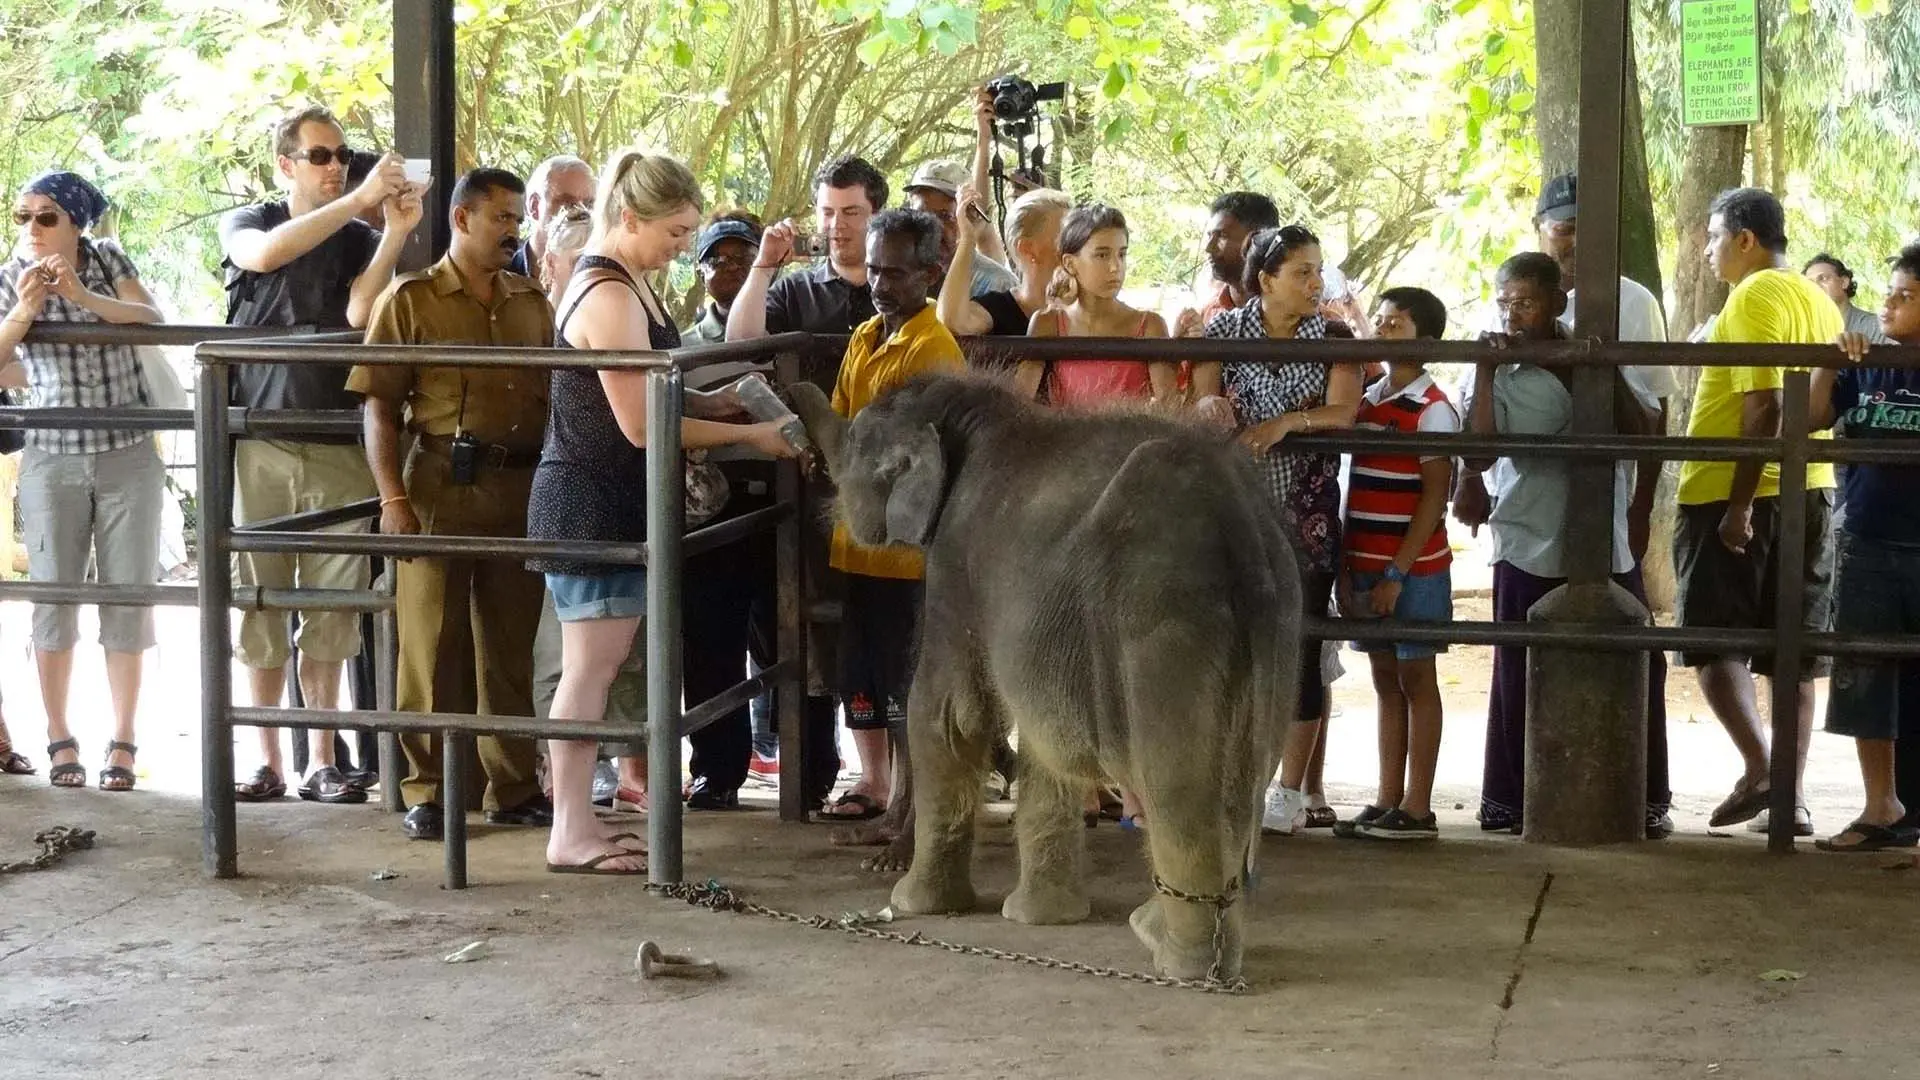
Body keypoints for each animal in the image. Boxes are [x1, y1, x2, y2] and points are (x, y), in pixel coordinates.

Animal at [788, 373, 1302, 981]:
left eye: (857, 445)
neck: (967, 411)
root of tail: (1239, 525)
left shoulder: (957, 562)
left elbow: (948, 715)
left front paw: (914, 903)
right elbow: (1042, 739)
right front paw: (1041, 918)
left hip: (1164, 620)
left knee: (1175, 782)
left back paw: (1181, 965)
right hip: (1280, 631)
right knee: (1239, 785)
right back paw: (1167, 935)